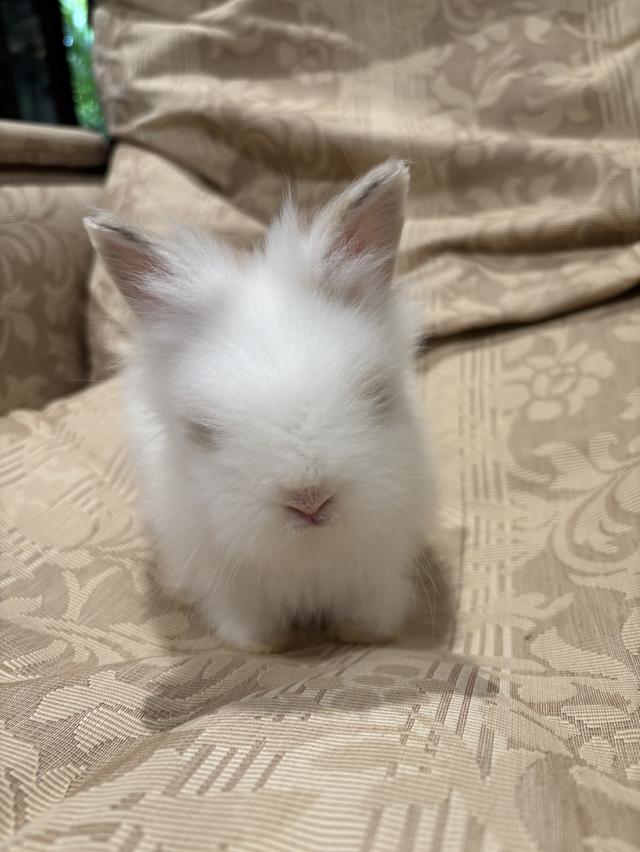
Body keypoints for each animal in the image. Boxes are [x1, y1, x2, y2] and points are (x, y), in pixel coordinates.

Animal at [84, 160, 436, 653]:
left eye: (376, 392)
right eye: (203, 429)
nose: (310, 501)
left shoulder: (377, 571)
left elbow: (367, 608)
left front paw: (363, 634)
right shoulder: (233, 587)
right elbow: (250, 622)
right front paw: (266, 645)